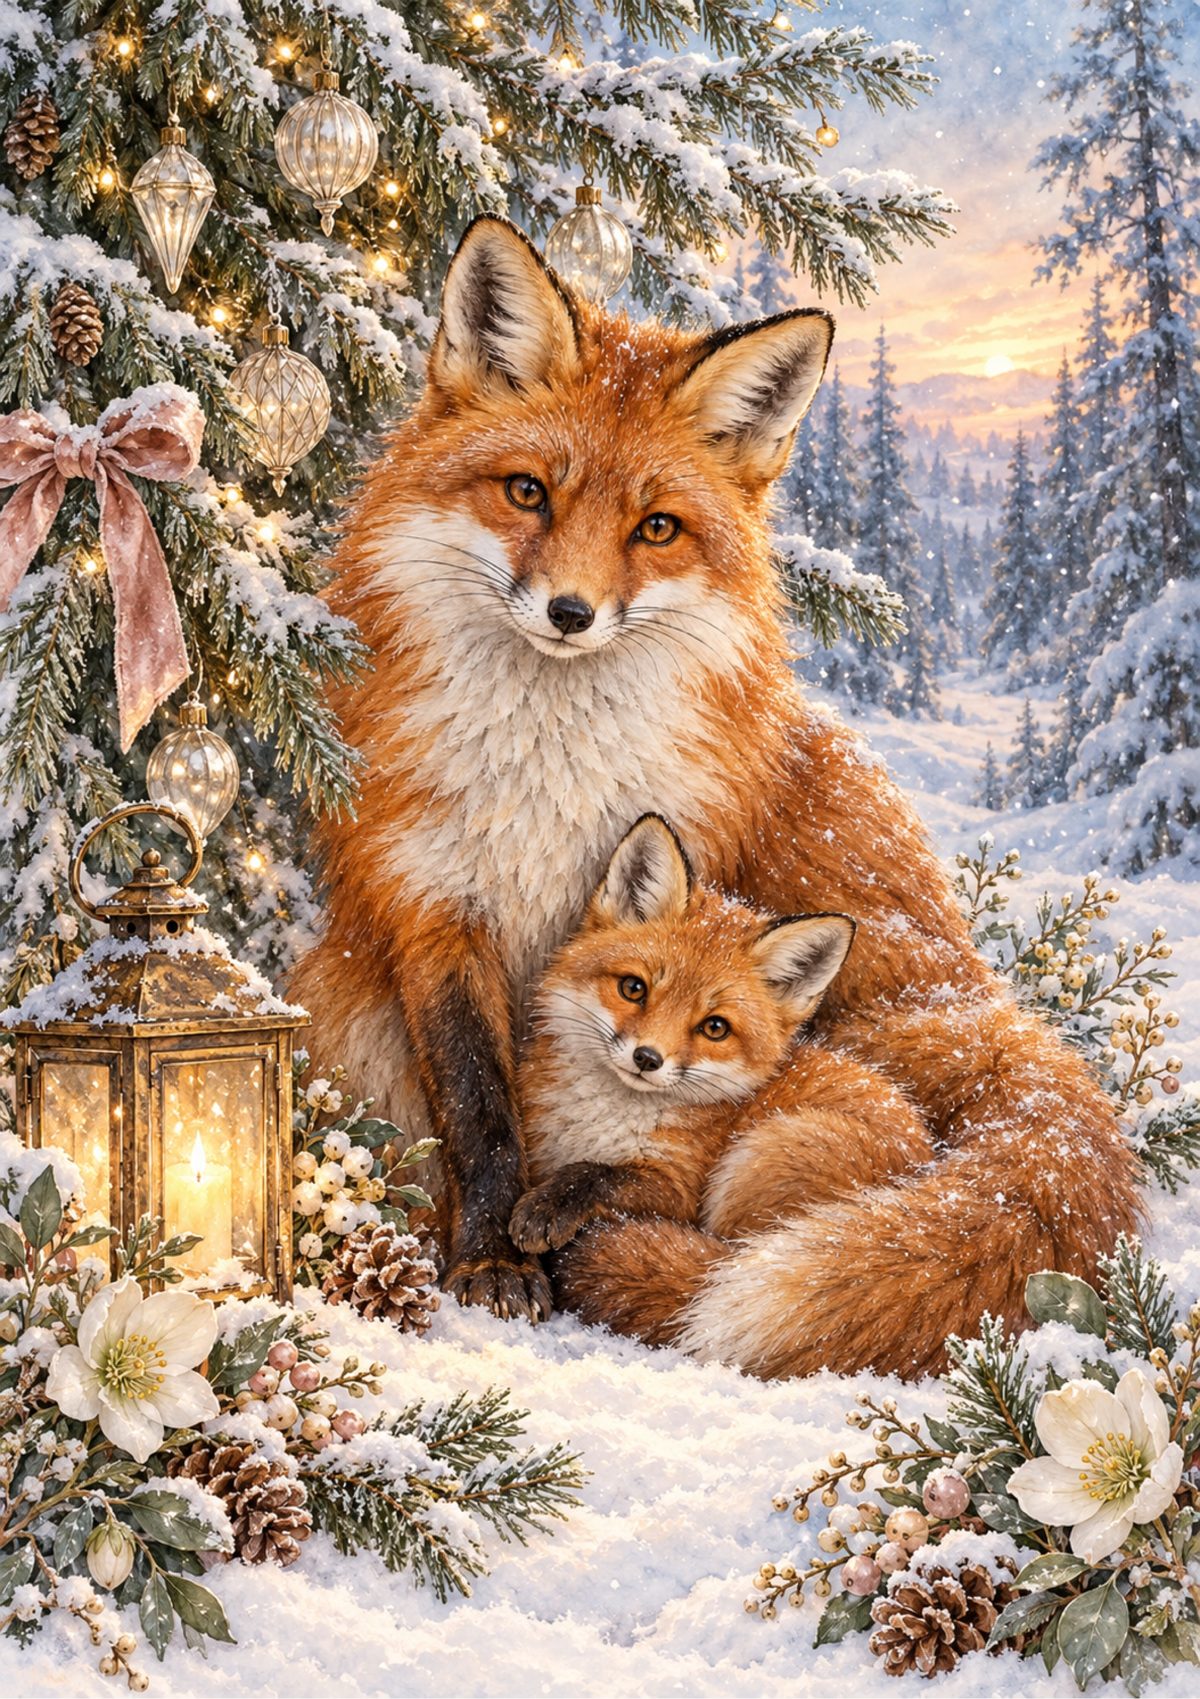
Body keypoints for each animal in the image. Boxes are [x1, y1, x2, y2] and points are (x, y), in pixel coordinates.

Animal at [512, 813, 942, 1373]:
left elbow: (600, 1176)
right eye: (634, 988)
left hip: (765, 1156)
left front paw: (552, 1206)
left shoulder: (677, 1188)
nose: (647, 1058)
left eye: (714, 1027)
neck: (601, 1120)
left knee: (716, 1262)